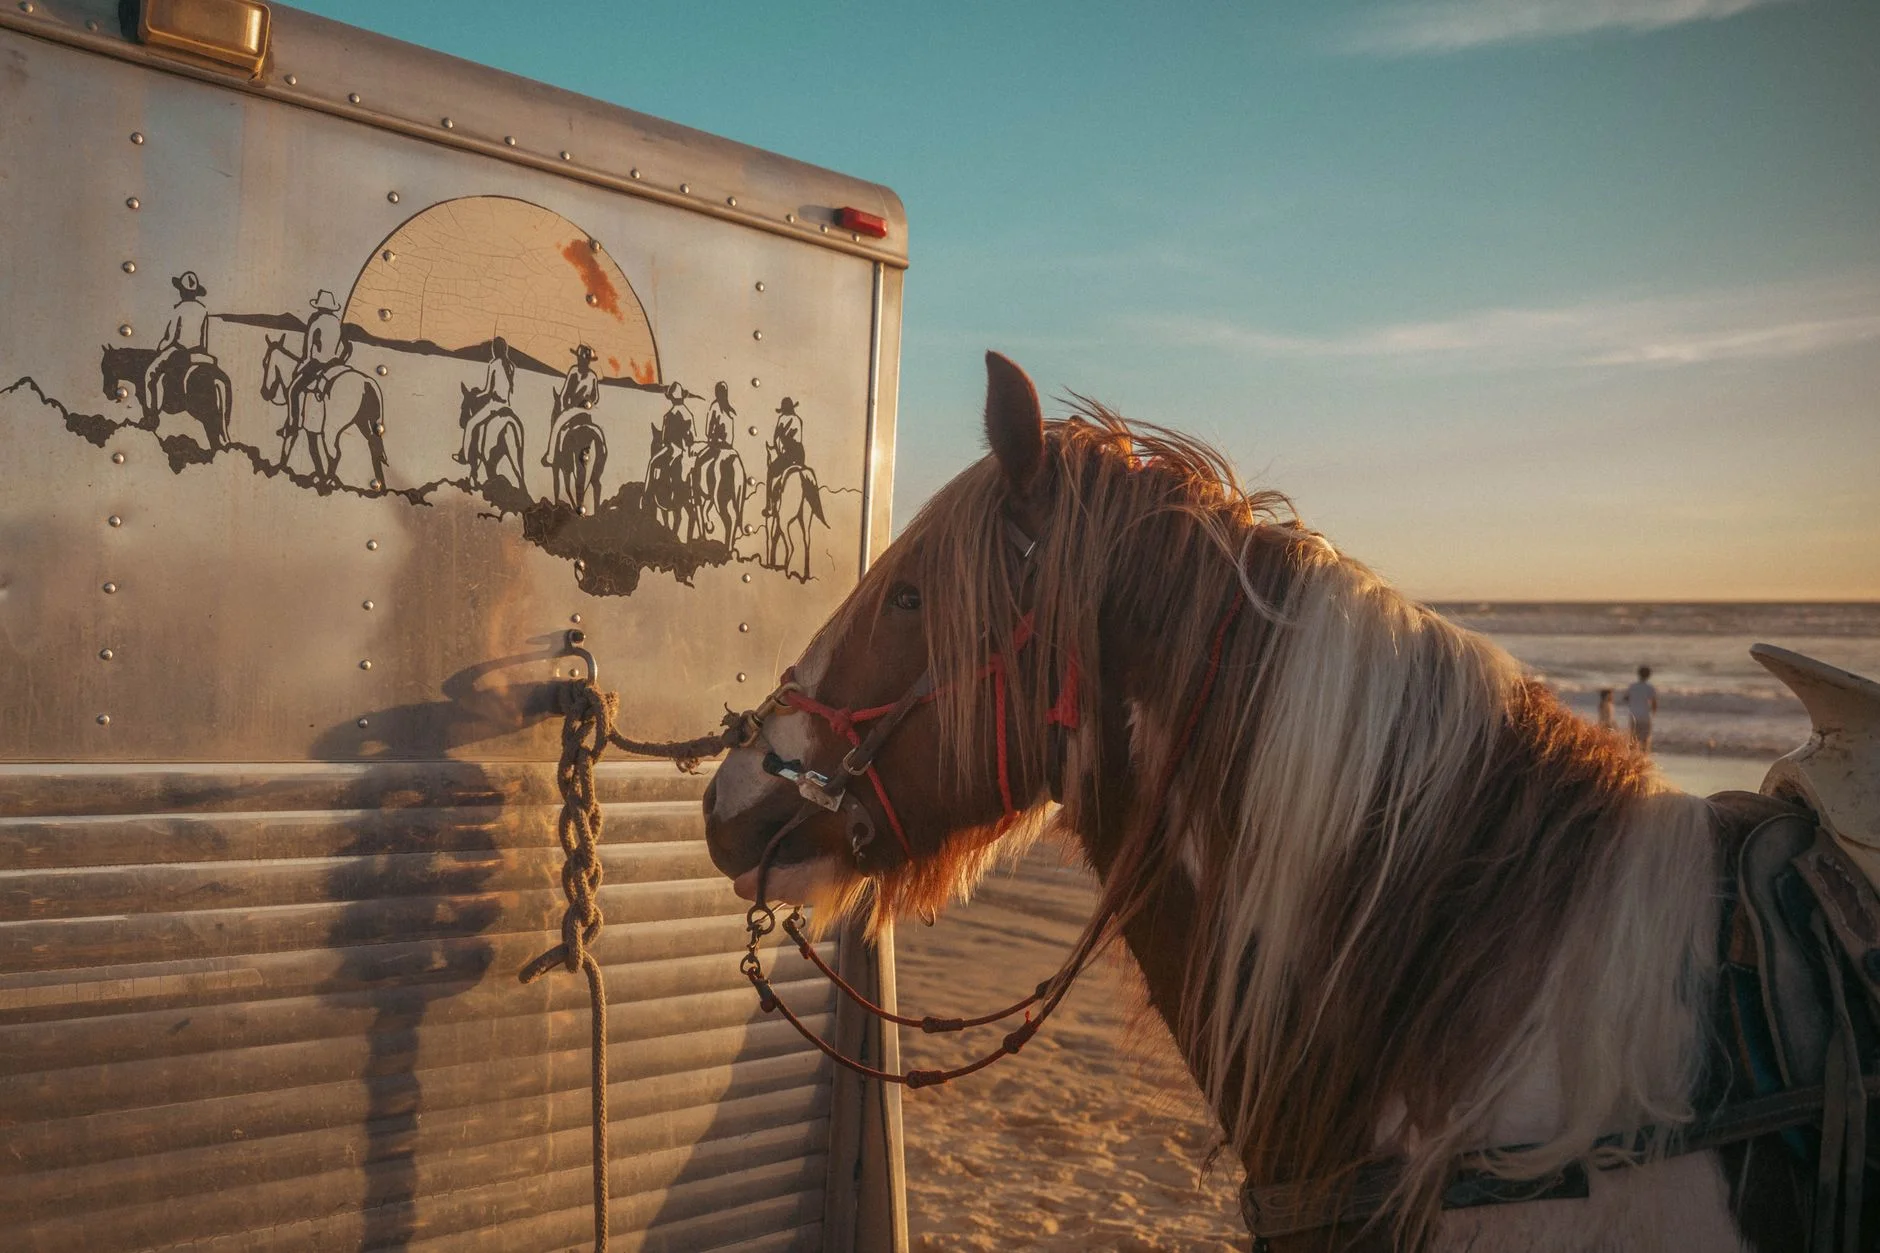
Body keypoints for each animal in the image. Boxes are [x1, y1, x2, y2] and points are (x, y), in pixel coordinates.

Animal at [259, 335, 387, 491]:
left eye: (265, 362)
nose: (264, 392)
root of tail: (366, 382)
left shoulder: (295, 419)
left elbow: (290, 438)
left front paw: (278, 468)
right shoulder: (311, 430)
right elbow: (314, 452)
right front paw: (316, 476)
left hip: (332, 428)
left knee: (335, 453)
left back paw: (327, 482)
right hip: (364, 423)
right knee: (374, 446)